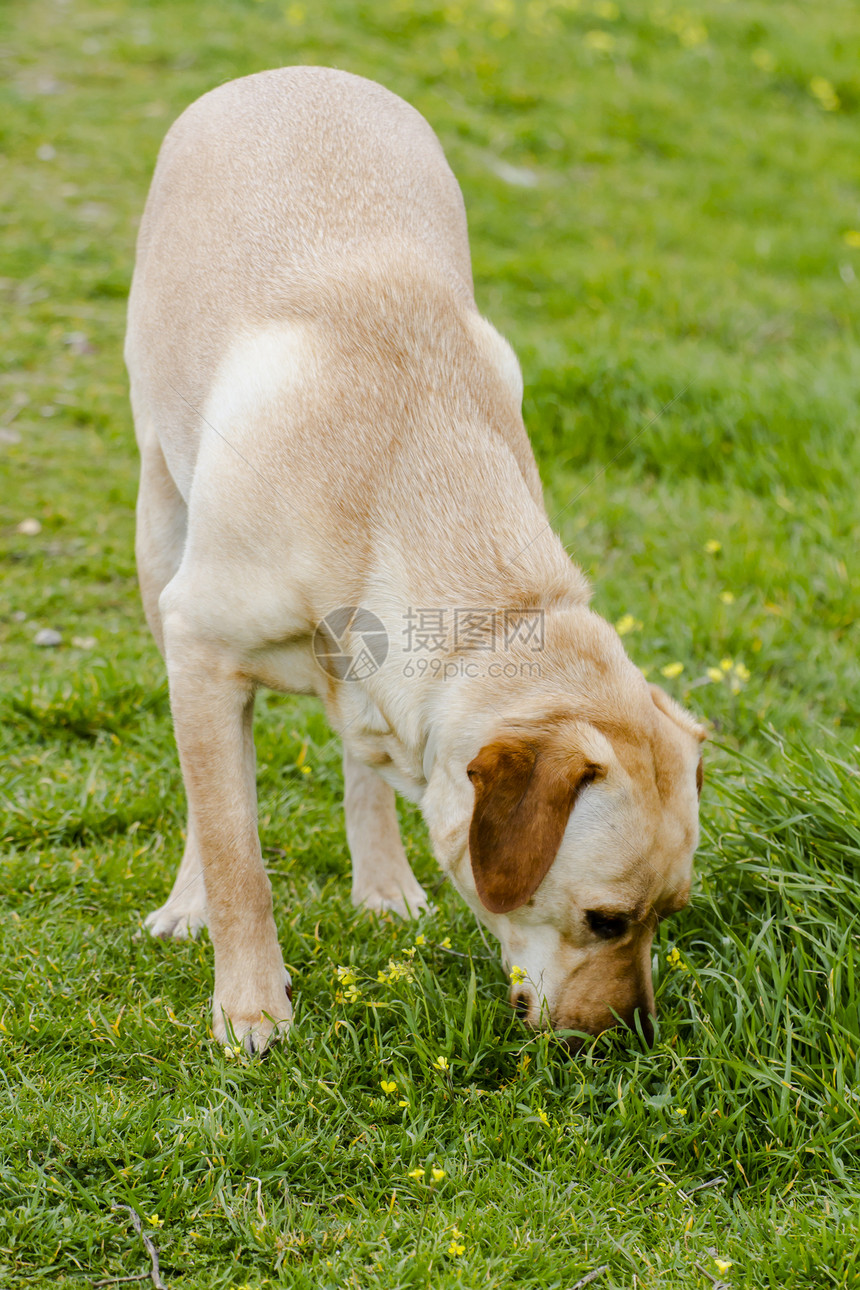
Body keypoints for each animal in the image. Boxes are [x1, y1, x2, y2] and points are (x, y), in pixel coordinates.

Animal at [127, 68, 706, 1047]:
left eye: (671, 915)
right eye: (605, 921)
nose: (633, 1038)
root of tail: (294, 69)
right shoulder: (201, 648)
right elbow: (236, 848)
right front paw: (250, 1004)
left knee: (359, 762)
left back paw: (386, 883)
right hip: (158, 531)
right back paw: (189, 903)